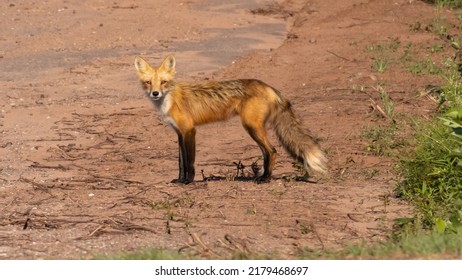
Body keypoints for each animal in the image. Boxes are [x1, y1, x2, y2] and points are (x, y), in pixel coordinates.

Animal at [134, 54, 328, 184]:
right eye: (148, 82)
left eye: (164, 82)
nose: (155, 93)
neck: (170, 100)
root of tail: (268, 86)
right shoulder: (179, 133)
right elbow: (181, 162)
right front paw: (180, 180)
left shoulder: (189, 130)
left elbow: (190, 161)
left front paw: (189, 181)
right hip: (254, 128)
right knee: (266, 152)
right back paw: (263, 176)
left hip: (251, 127)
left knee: (272, 151)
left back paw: (265, 179)